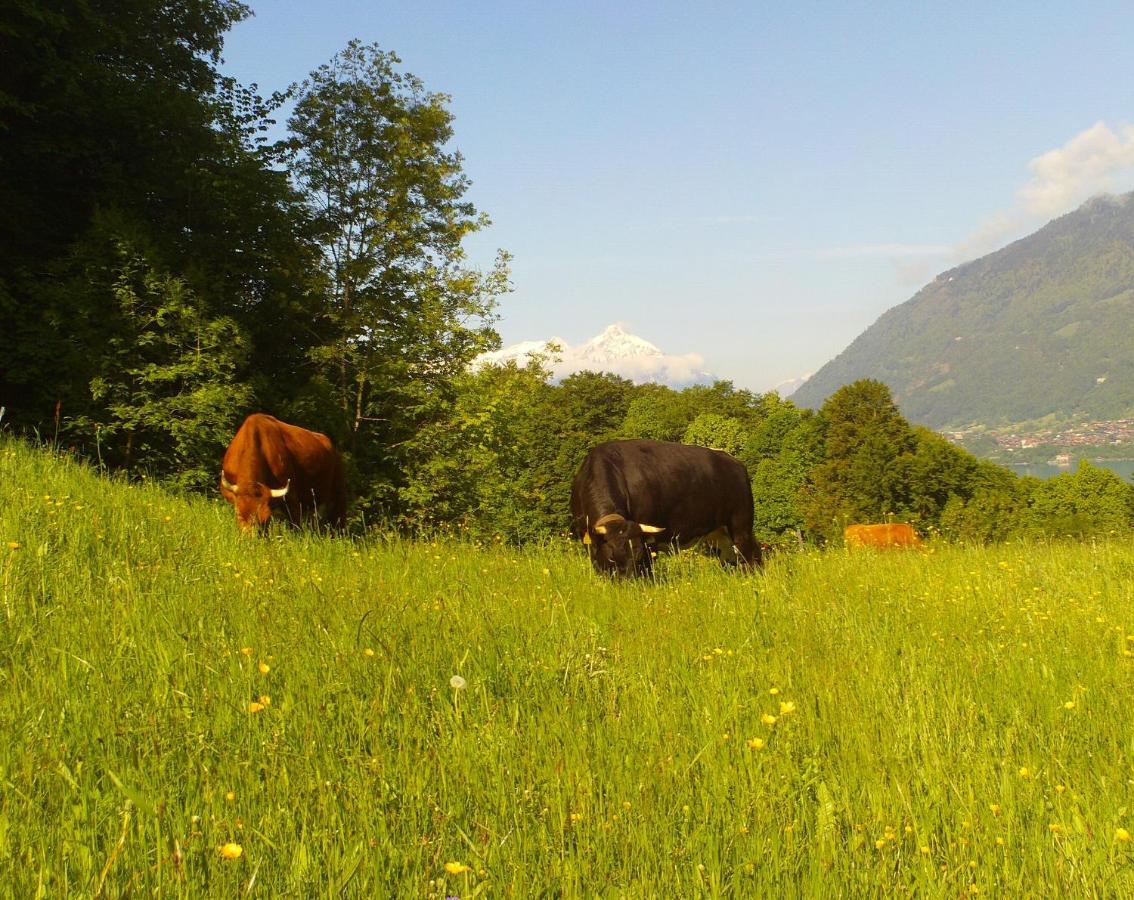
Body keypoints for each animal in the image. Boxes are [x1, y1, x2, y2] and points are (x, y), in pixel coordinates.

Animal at [571, 437, 757, 575]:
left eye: (637, 556)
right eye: (611, 558)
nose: (628, 583)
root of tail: (734, 461)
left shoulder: (647, 541)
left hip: (741, 524)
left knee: (750, 554)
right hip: (717, 533)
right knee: (731, 558)